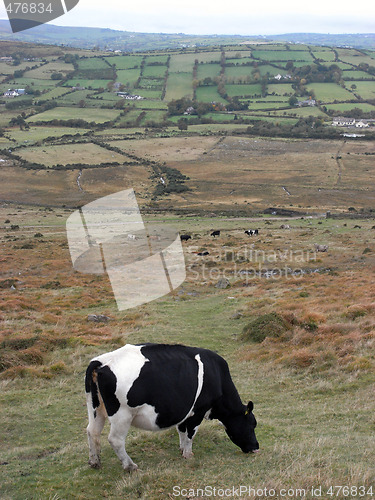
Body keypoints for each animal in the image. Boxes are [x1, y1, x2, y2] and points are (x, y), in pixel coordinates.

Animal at [85, 342, 260, 470]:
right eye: (252, 424)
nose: (256, 447)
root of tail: (103, 361)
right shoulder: (198, 411)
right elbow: (191, 433)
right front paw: (188, 454)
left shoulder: (185, 411)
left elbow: (181, 430)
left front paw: (182, 449)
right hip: (122, 414)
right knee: (115, 440)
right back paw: (130, 466)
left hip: (95, 408)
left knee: (92, 432)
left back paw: (95, 462)